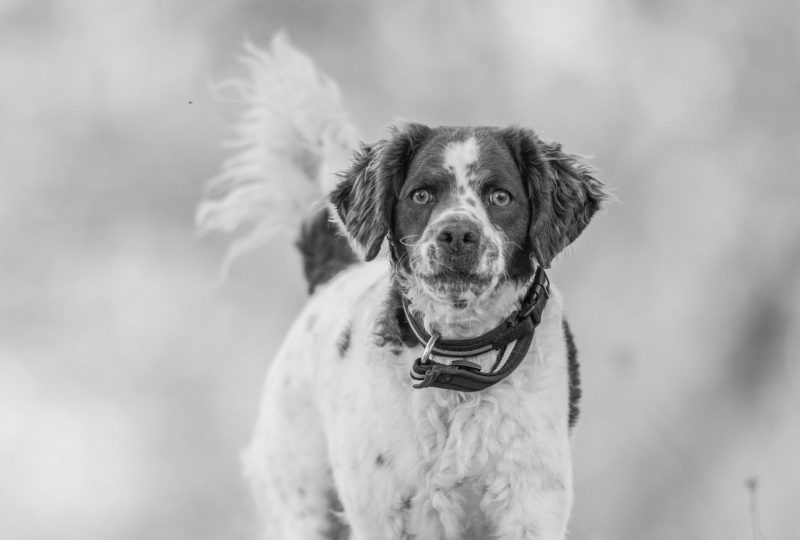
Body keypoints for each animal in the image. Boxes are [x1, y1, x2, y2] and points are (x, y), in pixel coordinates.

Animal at [200, 37, 608, 540]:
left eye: (500, 196)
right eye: (421, 194)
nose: (458, 234)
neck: (460, 363)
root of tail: (330, 277)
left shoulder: (529, 503)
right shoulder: (384, 510)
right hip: (301, 502)